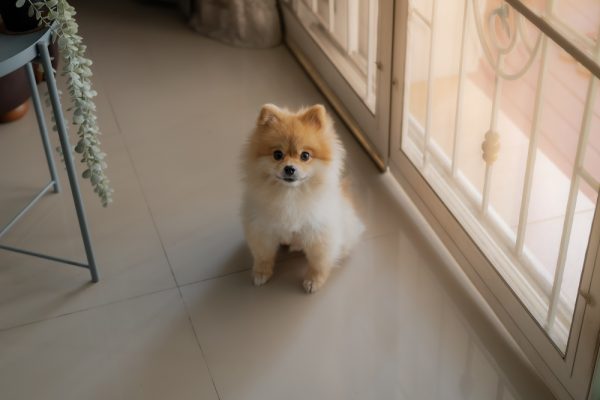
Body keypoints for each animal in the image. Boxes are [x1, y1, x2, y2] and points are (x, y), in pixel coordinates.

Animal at [240, 103, 364, 292]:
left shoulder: (319, 233)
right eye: (277, 154)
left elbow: (318, 262)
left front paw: (313, 281)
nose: (289, 168)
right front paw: (261, 273)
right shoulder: (261, 228)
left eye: (305, 156)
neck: (290, 194)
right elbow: (263, 255)